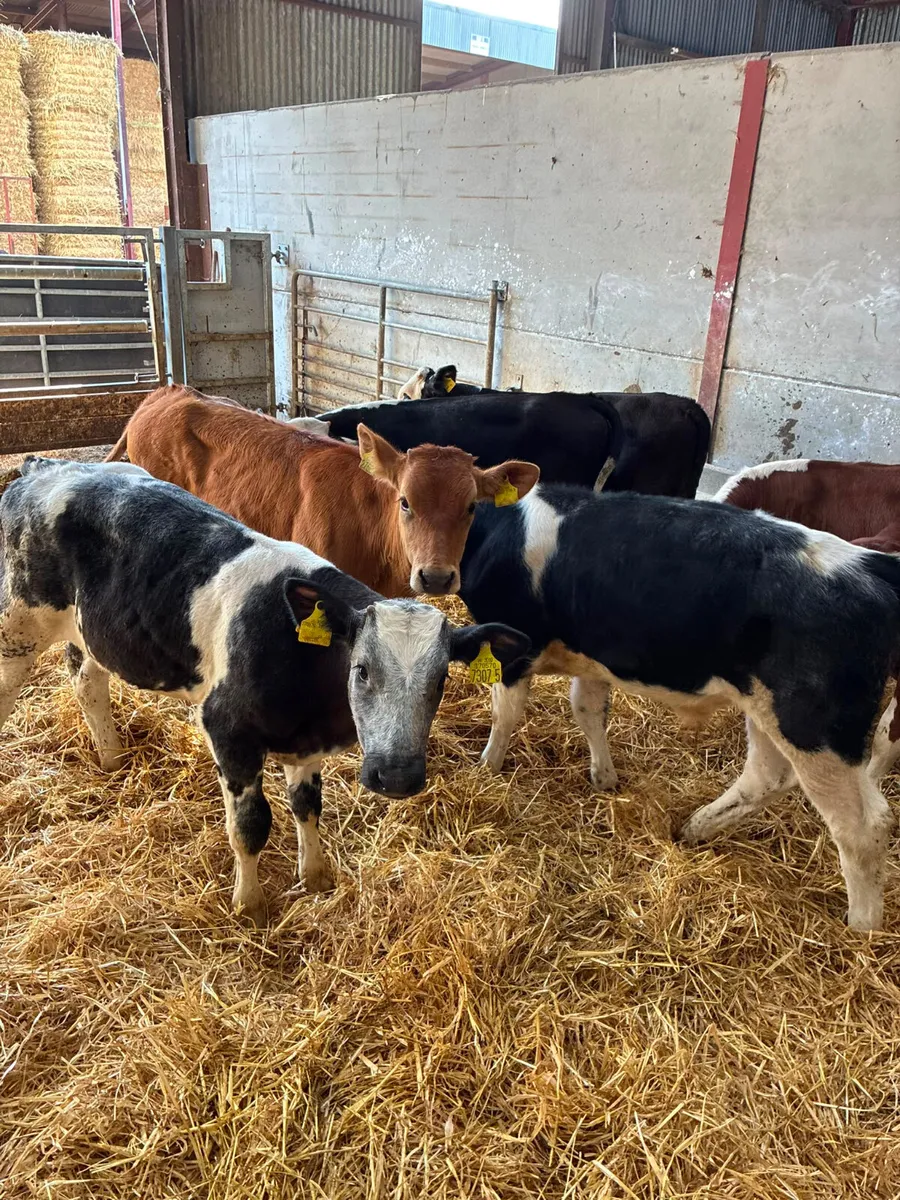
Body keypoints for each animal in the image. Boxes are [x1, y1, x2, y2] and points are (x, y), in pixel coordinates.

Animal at [0, 458, 530, 925]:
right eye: (361, 670)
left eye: (441, 679)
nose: (396, 777)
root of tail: (43, 467)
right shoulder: (228, 732)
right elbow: (251, 826)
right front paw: (249, 906)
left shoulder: (306, 743)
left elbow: (307, 808)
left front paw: (315, 876)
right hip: (18, 626)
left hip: (93, 632)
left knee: (87, 680)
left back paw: (111, 758)